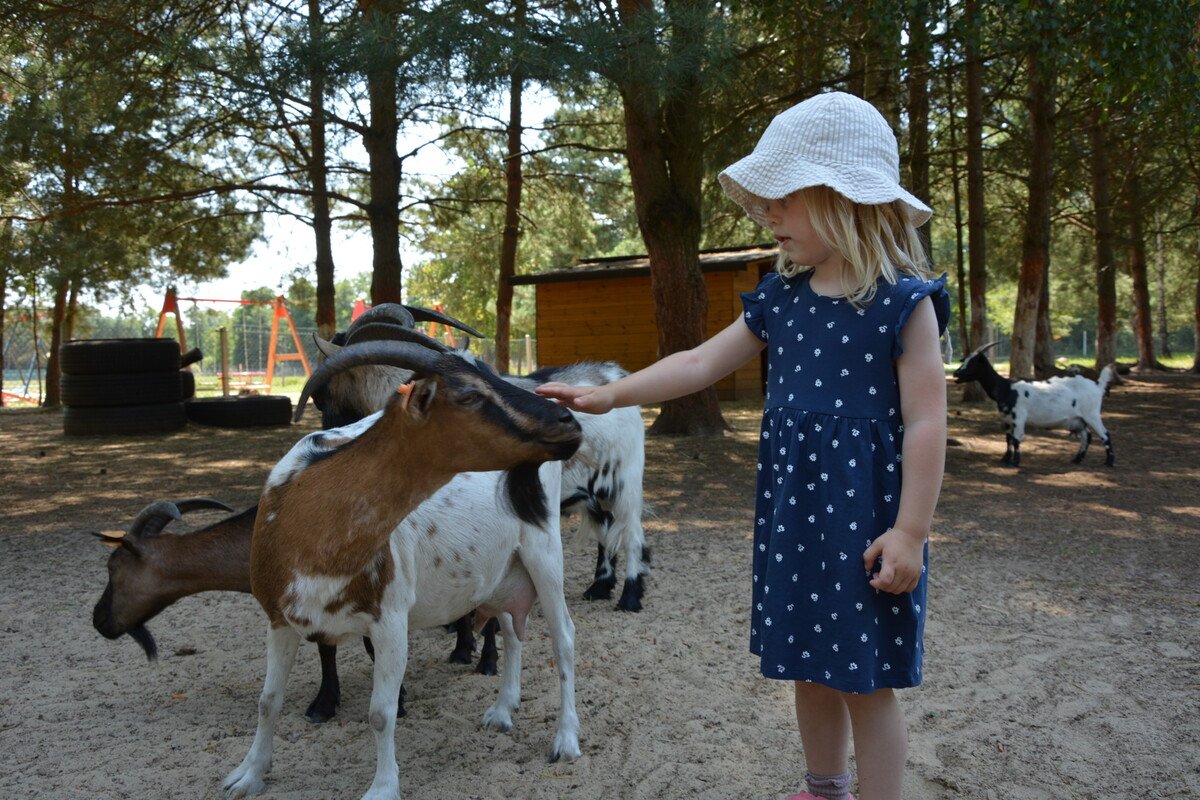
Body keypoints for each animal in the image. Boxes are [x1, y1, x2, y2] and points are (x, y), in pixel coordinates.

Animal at [225, 340, 585, 800]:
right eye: (469, 394)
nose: (566, 420)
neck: (308, 518)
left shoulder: (390, 619)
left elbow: (381, 713)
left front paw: (381, 788)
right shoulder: (278, 618)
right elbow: (268, 700)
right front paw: (247, 775)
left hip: (543, 550)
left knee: (564, 637)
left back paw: (566, 741)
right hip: (502, 568)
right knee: (511, 626)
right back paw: (502, 711)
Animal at [950, 345, 1118, 470]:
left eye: (973, 363)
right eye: (964, 360)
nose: (956, 373)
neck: (1007, 388)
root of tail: (1097, 385)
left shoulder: (1019, 418)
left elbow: (1016, 440)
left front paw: (1015, 462)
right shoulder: (1007, 420)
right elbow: (1008, 439)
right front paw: (1005, 459)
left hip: (1092, 414)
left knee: (1105, 434)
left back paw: (1109, 462)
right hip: (1078, 419)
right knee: (1086, 436)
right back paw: (1077, 459)